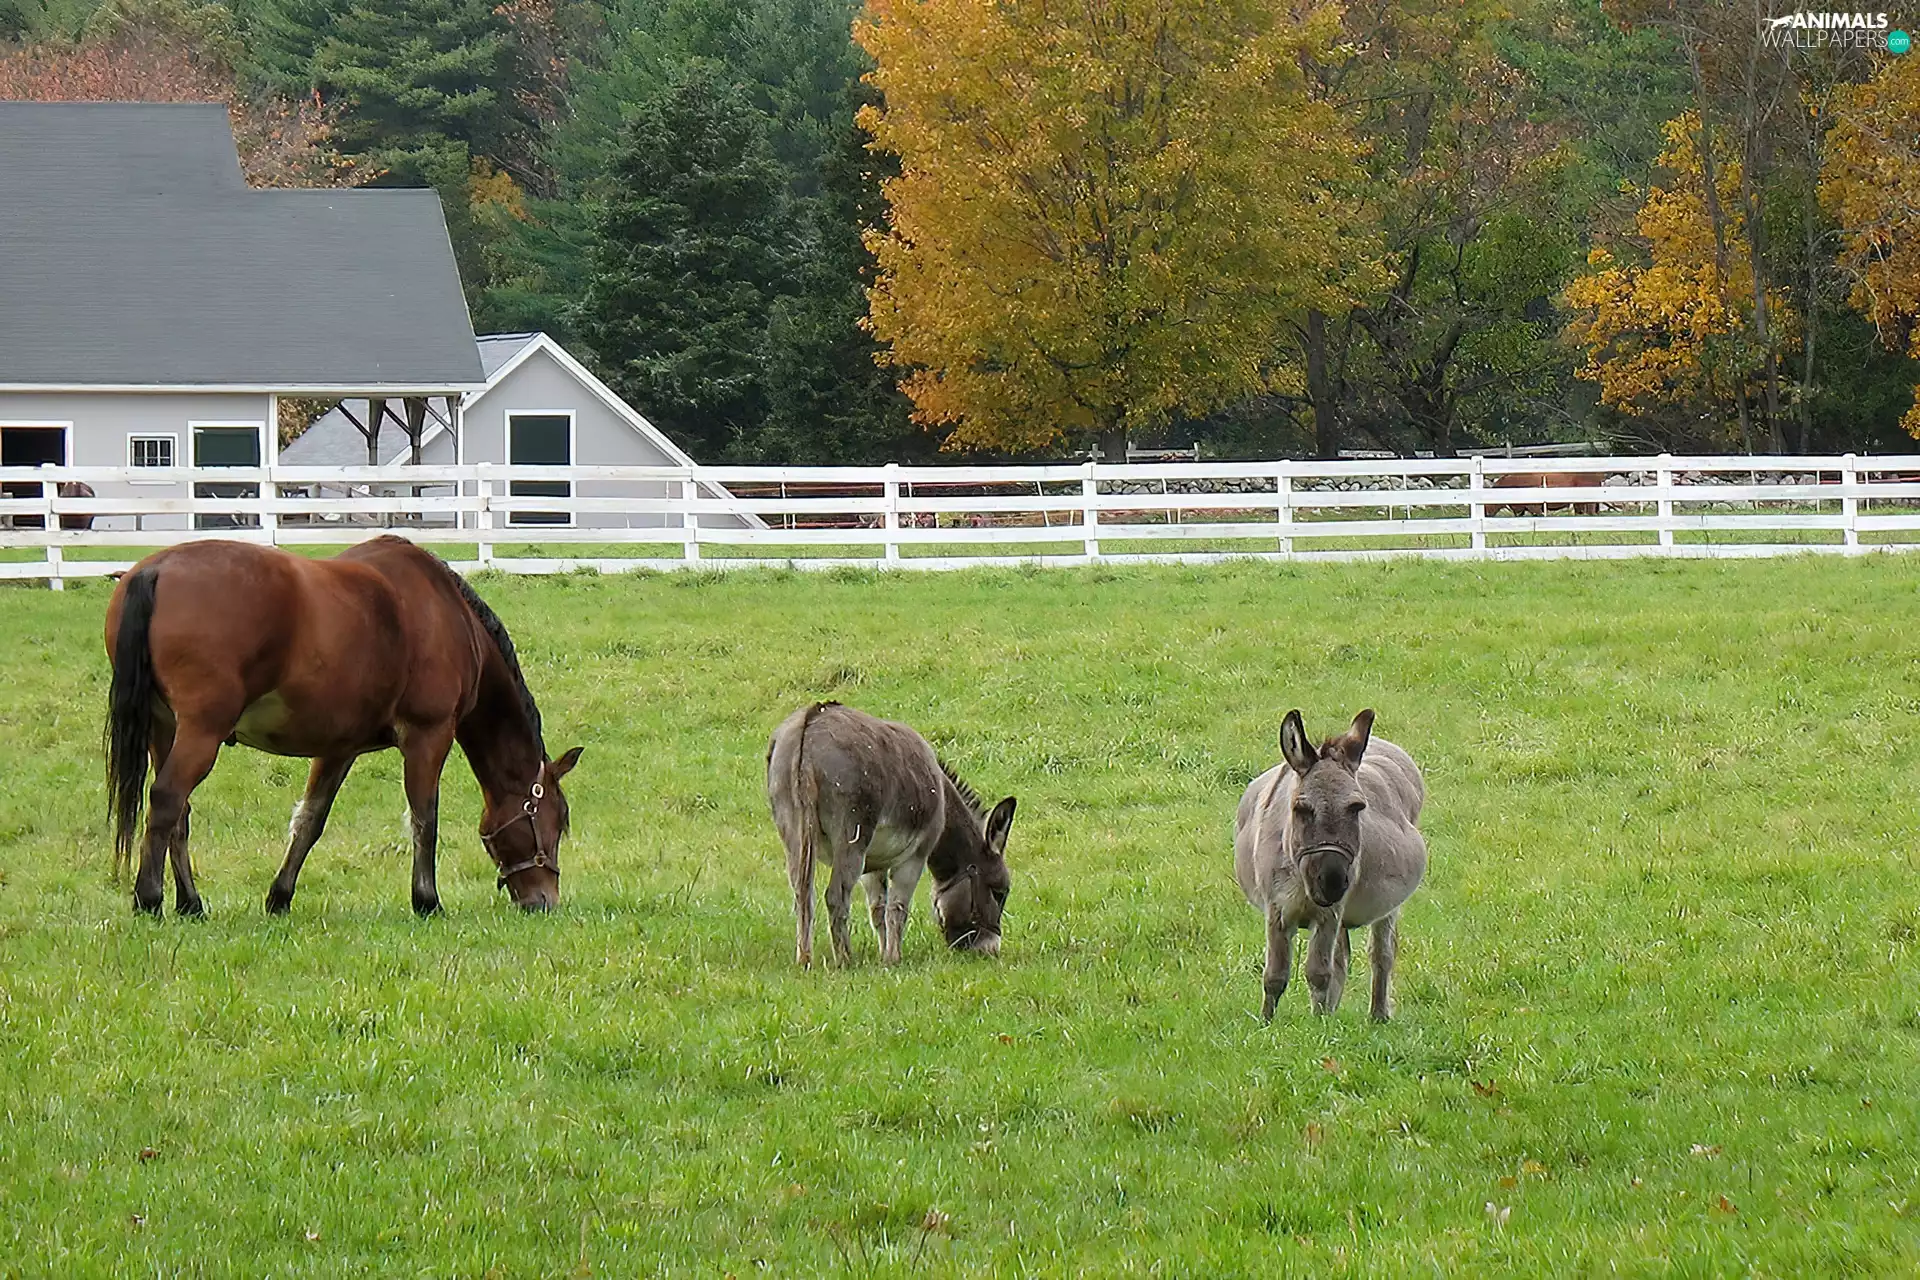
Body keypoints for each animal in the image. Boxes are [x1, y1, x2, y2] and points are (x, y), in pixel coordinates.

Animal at [103, 535, 583, 917]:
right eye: (557, 819)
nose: (544, 901)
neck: (446, 612)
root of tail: (155, 570)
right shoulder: (428, 735)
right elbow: (424, 818)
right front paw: (427, 901)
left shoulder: (339, 747)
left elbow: (311, 820)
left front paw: (280, 897)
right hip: (201, 731)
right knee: (167, 799)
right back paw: (149, 898)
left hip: (164, 729)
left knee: (178, 814)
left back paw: (190, 903)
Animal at [767, 701, 1015, 966]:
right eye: (999, 893)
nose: (990, 951)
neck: (940, 795)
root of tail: (812, 718)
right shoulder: (915, 857)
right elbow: (898, 907)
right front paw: (893, 958)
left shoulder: (873, 864)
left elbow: (878, 909)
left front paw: (883, 956)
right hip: (851, 836)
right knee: (836, 896)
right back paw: (845, 961)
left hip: (793, 832)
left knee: (803, 895)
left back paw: (804, 960)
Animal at [1233, 709, 1427, 1022]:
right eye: (1301, 809)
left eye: (1358, 808)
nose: (1333, 882)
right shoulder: (1277, 911)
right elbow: (1275, 976)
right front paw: (1267, 1023)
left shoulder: (1329, 914)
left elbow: (1319, 973)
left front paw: (1318, 1025)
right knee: (1343, 957)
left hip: (1384, 908)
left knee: (1381, 954)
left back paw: (1378, 1016)